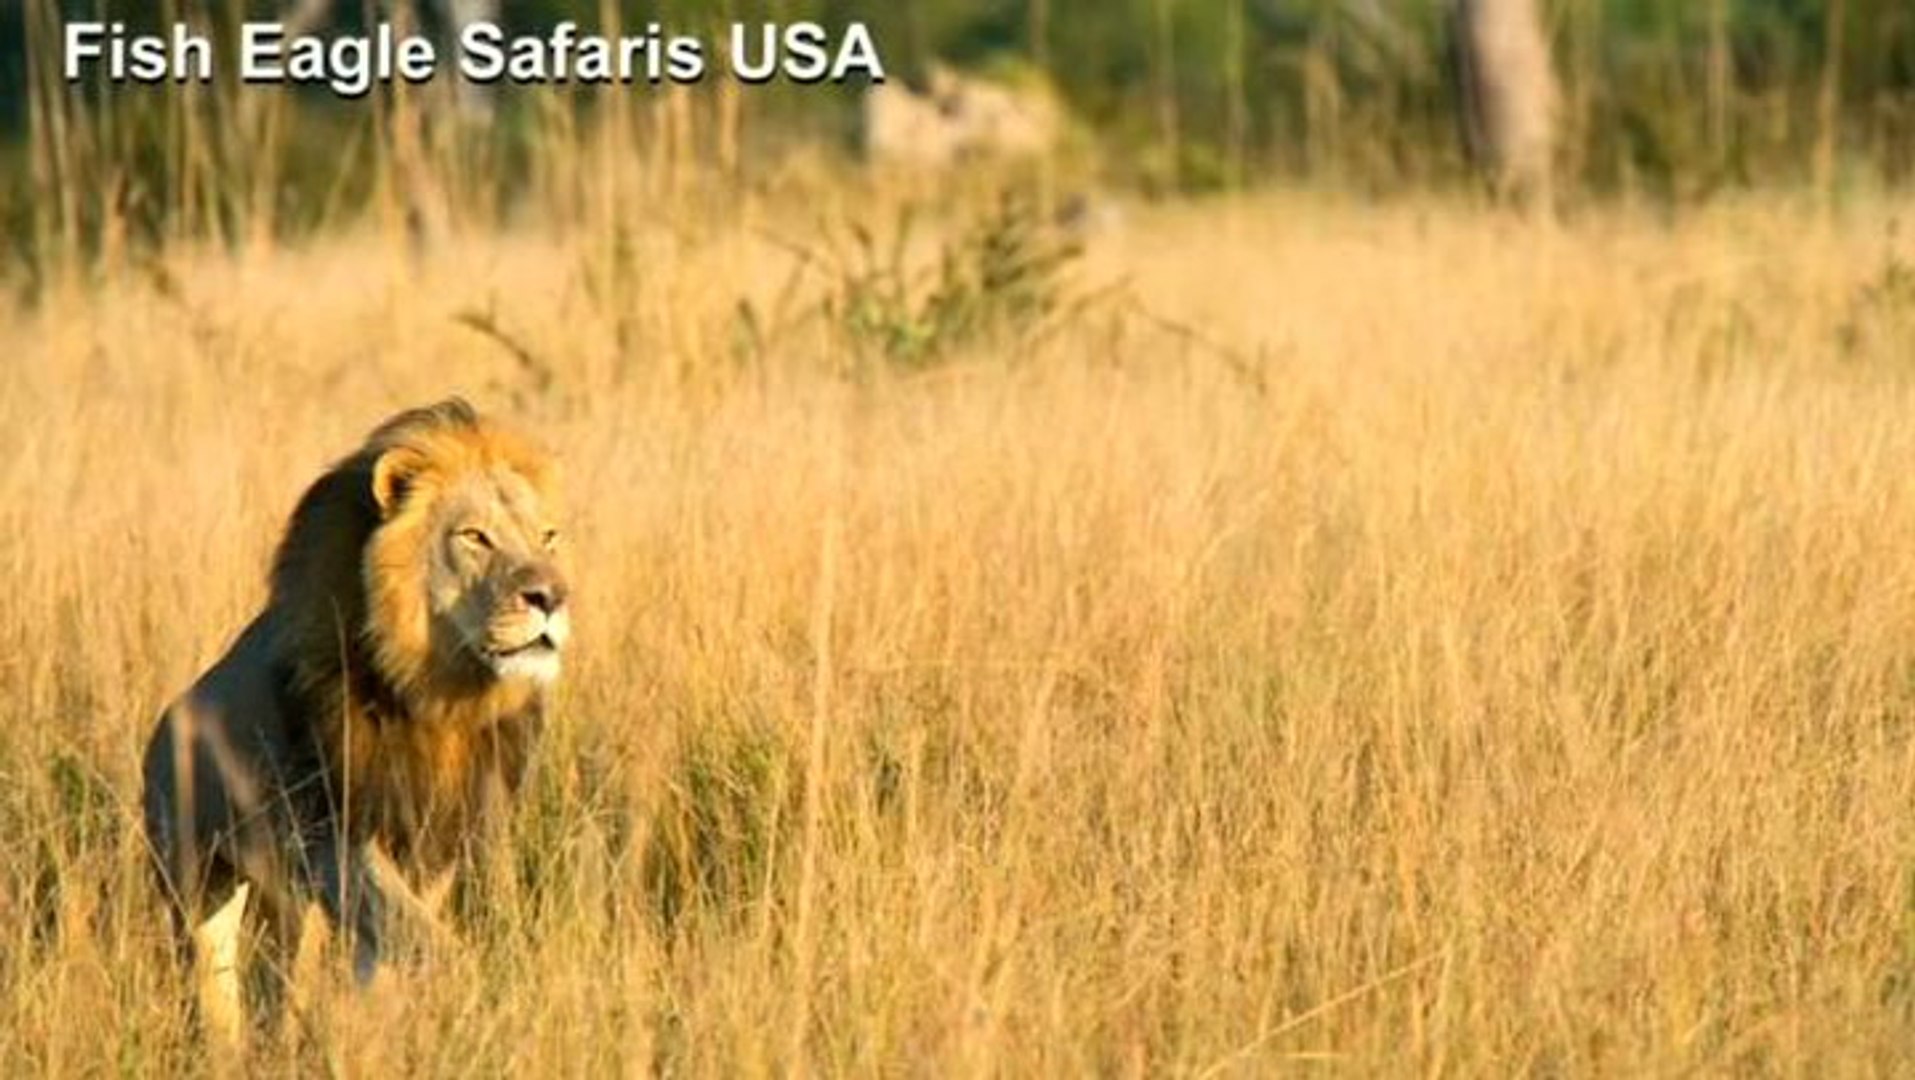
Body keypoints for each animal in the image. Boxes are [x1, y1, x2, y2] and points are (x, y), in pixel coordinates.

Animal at [140, 398, 570, 1041]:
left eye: (547, 537)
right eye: (475, 536)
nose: (552, 597)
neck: (439, 693)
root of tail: (162, 728)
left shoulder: (440, 833)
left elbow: (392, 938)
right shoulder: (333, 826)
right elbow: (408, 926)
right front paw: (468, 986)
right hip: (194, 872)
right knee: (216, 969)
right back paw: (227, 1044)